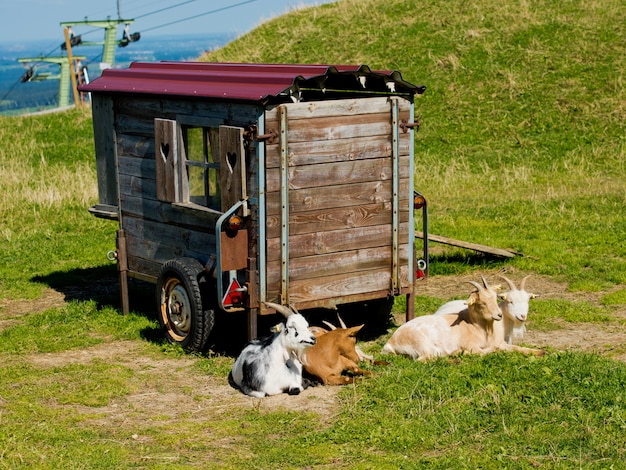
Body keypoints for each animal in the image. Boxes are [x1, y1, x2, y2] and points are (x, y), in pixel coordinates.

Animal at [380, 276, 540, 360]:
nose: (498, 315)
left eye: (495, 298)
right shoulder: (473, 345)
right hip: (422, 344)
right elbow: (483, 352)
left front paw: (540, 352)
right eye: (482, 303)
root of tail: (390, 343)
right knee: (425, 358)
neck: (473, 325)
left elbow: (517, 347)